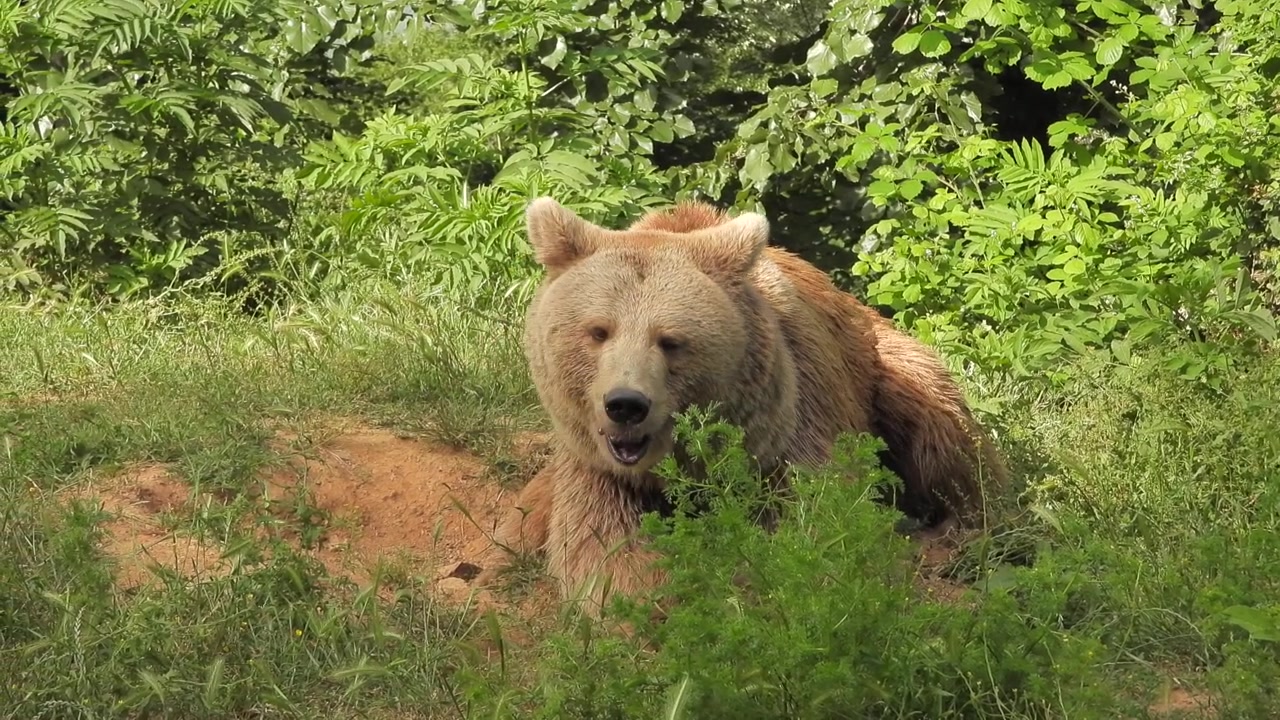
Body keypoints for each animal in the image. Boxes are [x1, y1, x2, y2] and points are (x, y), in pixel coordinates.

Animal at [481, 196, 1007, 618]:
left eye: (671, 341)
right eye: (598, 331)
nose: (626, 405)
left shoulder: (793, 420)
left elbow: (821, 521)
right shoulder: (600, 469)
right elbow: (603, 547)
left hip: (887, 368)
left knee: (945, 439)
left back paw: (951, 535)